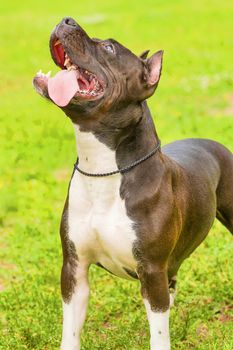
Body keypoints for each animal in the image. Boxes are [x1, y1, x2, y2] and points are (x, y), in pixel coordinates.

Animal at [32, 17, 233, 350]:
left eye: (109, 48)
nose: (66, 19)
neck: (102, 167)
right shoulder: (74, 269)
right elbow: (70, 331)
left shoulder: (151, 271)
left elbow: (159, 334)